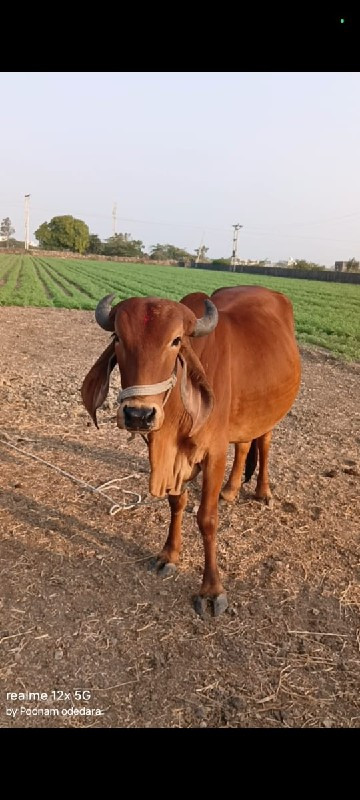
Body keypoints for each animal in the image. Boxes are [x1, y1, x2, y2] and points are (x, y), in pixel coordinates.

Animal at [81, 288, 300, 620]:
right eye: (118, 337)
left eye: (175, 341)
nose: (138, 415)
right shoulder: (171, 456)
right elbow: (176, 503)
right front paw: (169, 554)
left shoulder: (214, 453)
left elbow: (206, 519)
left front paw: (211, 590)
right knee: (244, 445)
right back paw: (231, 489)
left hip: (269, 414)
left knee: (263, 442)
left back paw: (262, 492)